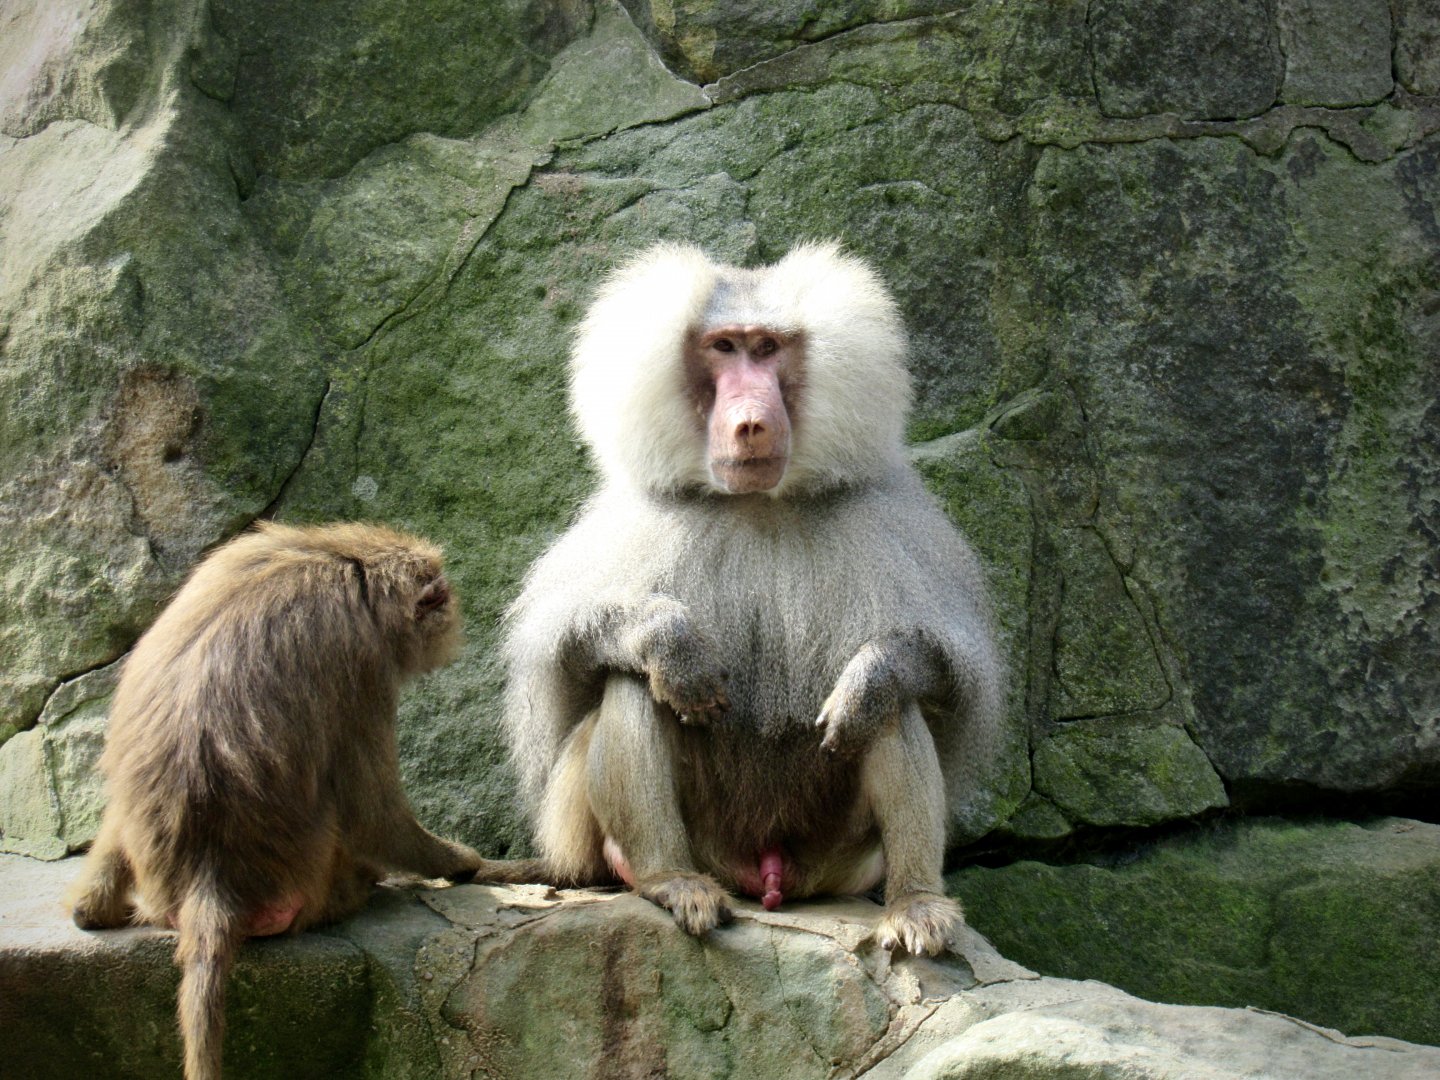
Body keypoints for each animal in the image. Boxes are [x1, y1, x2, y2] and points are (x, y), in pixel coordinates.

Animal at [67, 521, 483, 1080]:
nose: (454, 624)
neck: (346, 563)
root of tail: (209, 879)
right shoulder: (363, 662)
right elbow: (372, 813)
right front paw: (459, 862)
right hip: (310, 890)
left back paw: (93, 908)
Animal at [479, 242, 1004, 957]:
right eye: (724, 347)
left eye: (769, 347)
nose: (752, 422)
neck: (758, 505)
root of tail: (767, 873)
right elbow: (569, 658)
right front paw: (670, 644)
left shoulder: (897, 524)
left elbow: (940, 677)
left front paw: (871, 677)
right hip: (672, 841)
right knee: (633, 682)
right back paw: (670, 881)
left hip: (838, 859)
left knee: (891, 708)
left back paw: (917, 904)